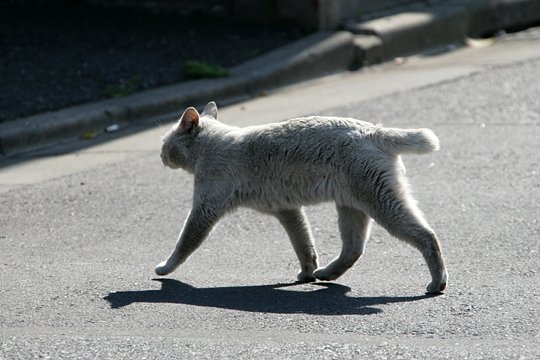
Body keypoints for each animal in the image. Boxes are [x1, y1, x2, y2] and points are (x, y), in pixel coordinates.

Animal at [156, 100, 448, 292]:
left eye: (162, 142)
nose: (160, 155)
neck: (211, 145)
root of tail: (375, 131)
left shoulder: (205, 209)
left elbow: (185, 243)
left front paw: (164, 268)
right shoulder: (287, 210)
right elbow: (303, 244)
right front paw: (307, 273)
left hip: (380, 202)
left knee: (427, 235)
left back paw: (437, 282)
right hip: (351, 205)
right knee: (354, 248)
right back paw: (327, 273)